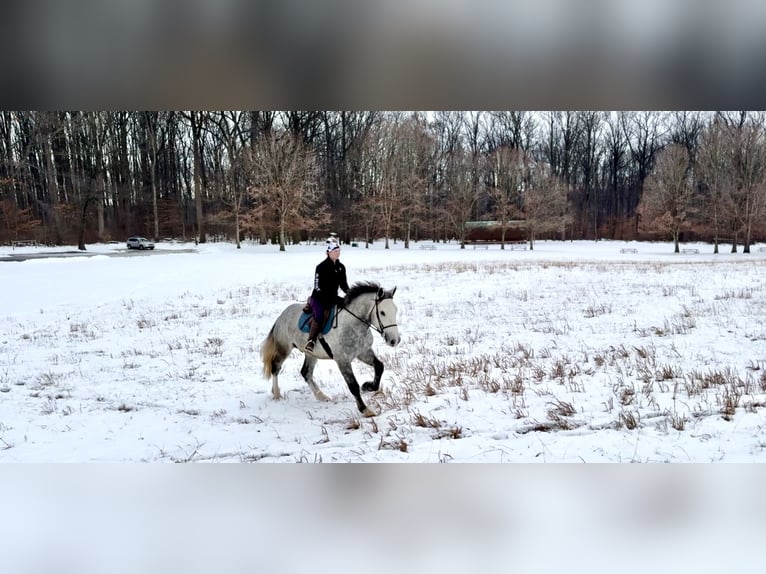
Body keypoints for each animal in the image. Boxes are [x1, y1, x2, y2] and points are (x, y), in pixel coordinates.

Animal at [260, 282, 401, 417]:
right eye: (382, 312)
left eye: (395, 310)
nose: (395, 340)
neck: (353, 324)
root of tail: (282, 316)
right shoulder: (342, 360)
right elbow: (353, 386)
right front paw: (366, 410)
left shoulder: (363, 353)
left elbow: (379, 366)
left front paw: (368, 386)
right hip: (284, 349)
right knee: (275, 368)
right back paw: (277, 394)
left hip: (311, 354)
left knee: (306, 373)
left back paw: (322, 396)